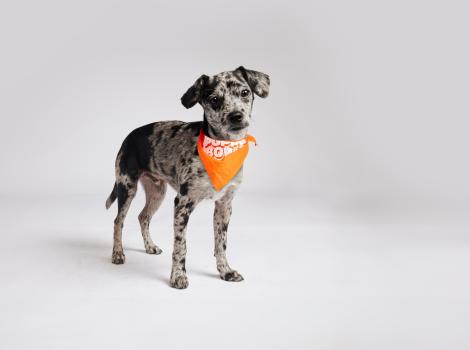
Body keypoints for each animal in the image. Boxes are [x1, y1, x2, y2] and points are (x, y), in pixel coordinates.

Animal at [104, 67, 270, 288]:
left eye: (245, 92)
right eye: (214, 99)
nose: (236, 116)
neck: (222, 150)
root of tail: (129, 137)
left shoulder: (224, 205)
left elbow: (221, 243)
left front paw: (225, 271)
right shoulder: (183, 203)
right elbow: (181, 245)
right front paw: (178, 276)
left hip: (157, 192)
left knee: (143, 217)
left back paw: (149, 246)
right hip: (127, 187)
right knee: (118, 221)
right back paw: (117, 253)